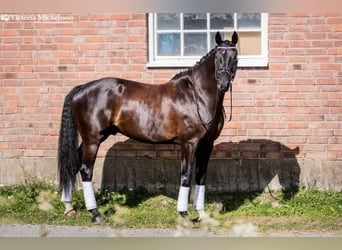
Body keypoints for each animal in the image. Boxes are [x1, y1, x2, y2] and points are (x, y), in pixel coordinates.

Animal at [57, 31, 238, 223]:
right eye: (218, 57)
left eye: (234, 57)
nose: (223, 84)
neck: (196, 95)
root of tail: (82, 88)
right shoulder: (189, 143)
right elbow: (186, 175)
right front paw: (183, 213)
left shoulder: (207, 144)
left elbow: (201, 176)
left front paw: (202, 214)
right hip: (92, 139)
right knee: (85, 170)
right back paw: (95, 213)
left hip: (92, 138)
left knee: (74, 163)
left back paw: (69, 206)